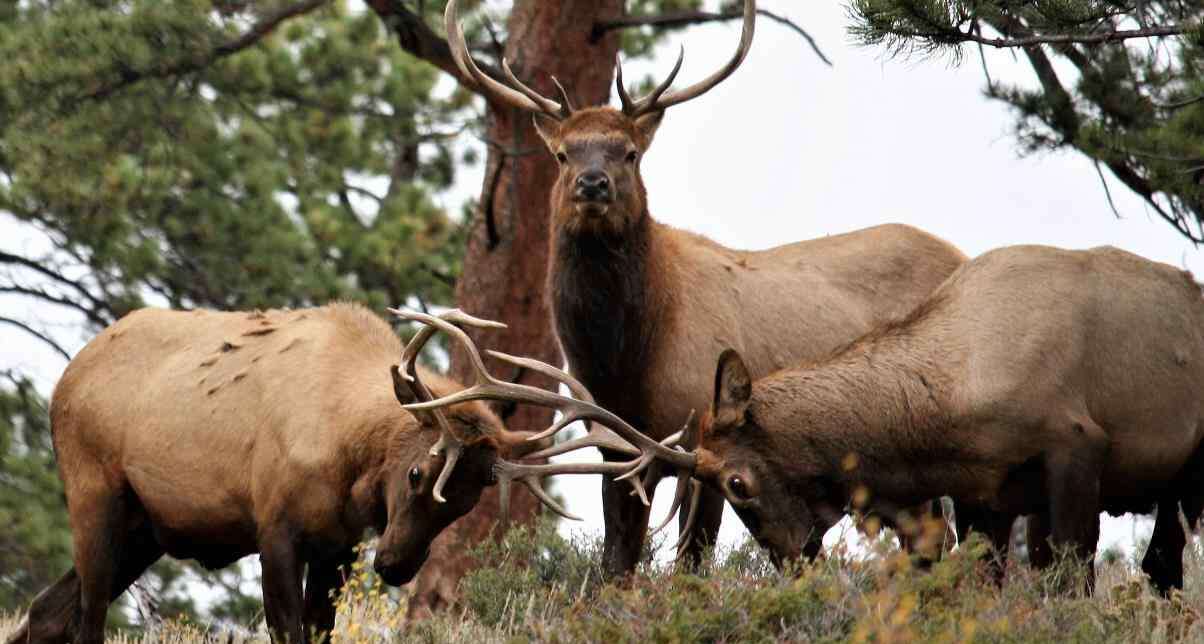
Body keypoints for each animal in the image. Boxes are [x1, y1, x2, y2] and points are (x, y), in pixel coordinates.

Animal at [4, 303, 664, 644]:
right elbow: (288, 629)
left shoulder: (337, 545)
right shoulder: (275, 528)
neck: (349, 460)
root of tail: (65, 379)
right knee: (87, 618)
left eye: (467, 501)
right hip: (95, 492)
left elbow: (320, 629)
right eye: (419, 473)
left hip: (147, 529)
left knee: (48, 610)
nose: (395, 566)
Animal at [443, 0, 968, 575]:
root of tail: (960, 253)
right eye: (563, 153)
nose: (592, 184)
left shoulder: (705, 440)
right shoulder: (616, 448)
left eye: (629, 152)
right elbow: (617, 561)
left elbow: (692, 561)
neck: (629, 360)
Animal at [664, 246, 1204, 594]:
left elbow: (1072, 579)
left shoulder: (1078, 445)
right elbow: (985, 581)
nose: (791, 562)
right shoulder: (983, 494)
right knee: (1162, 561)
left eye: (737, 483)